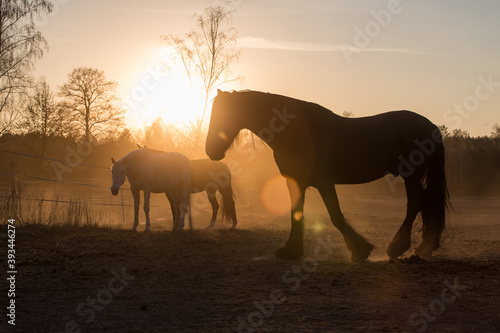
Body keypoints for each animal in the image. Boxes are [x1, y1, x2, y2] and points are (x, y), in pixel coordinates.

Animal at [204, 89, 450, 260]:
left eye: (226, 114)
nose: (210, 151)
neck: (295, 131)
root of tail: (431, 126)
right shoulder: (297, 182)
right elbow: (296, 214)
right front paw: (291, 250)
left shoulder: (324, 182)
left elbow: (336, 215)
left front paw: (360, 250)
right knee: (425, 204)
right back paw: (425, 246)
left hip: (412, 175)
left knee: (415, 204)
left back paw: (397, 247)